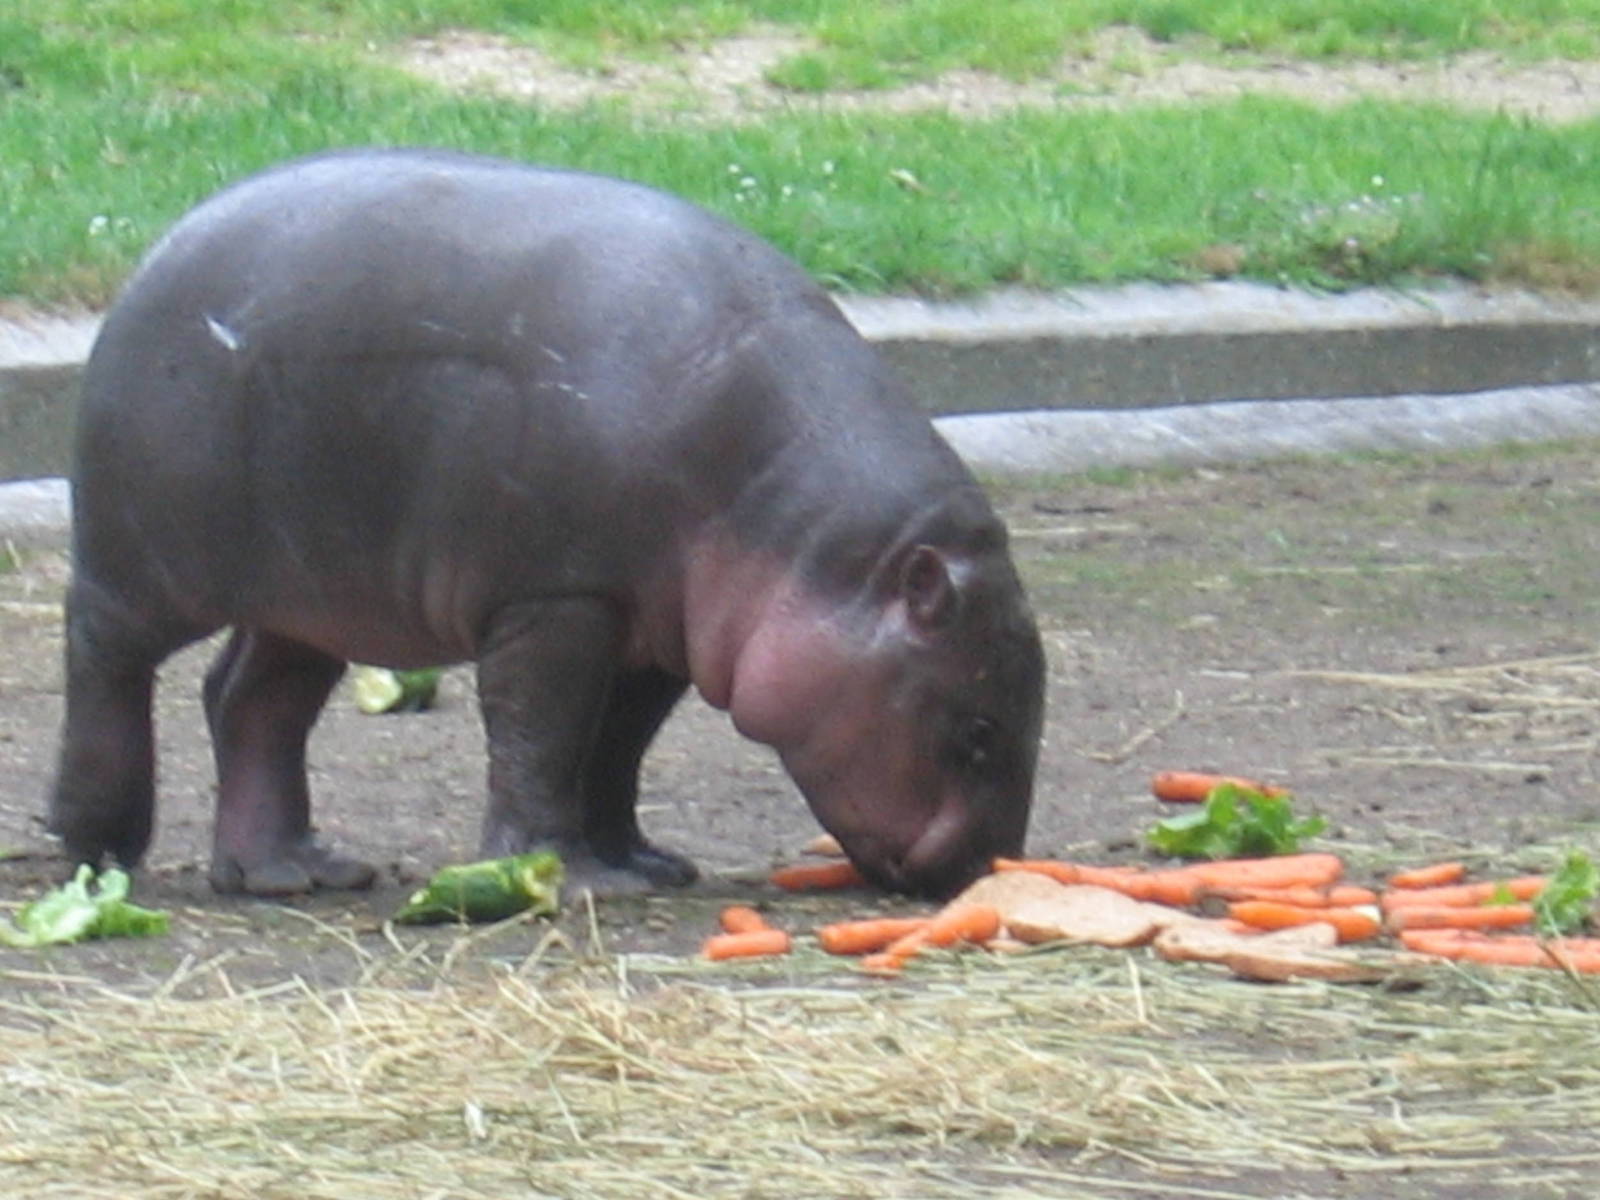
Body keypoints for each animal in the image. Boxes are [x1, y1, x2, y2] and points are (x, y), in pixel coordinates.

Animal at [48, 148, 1045, 899]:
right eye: (978, 730)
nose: (979, 872)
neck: (814, 542)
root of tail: (159, 249)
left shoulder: (655, 626)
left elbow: (614, 750)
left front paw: (644, 865)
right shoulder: (558, 597)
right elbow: (542, 733)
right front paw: (565, 879)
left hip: (312, 590)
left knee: (249, 701)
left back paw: (294, 872)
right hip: (146, 564)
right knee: (104, 656)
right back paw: (96, 842)